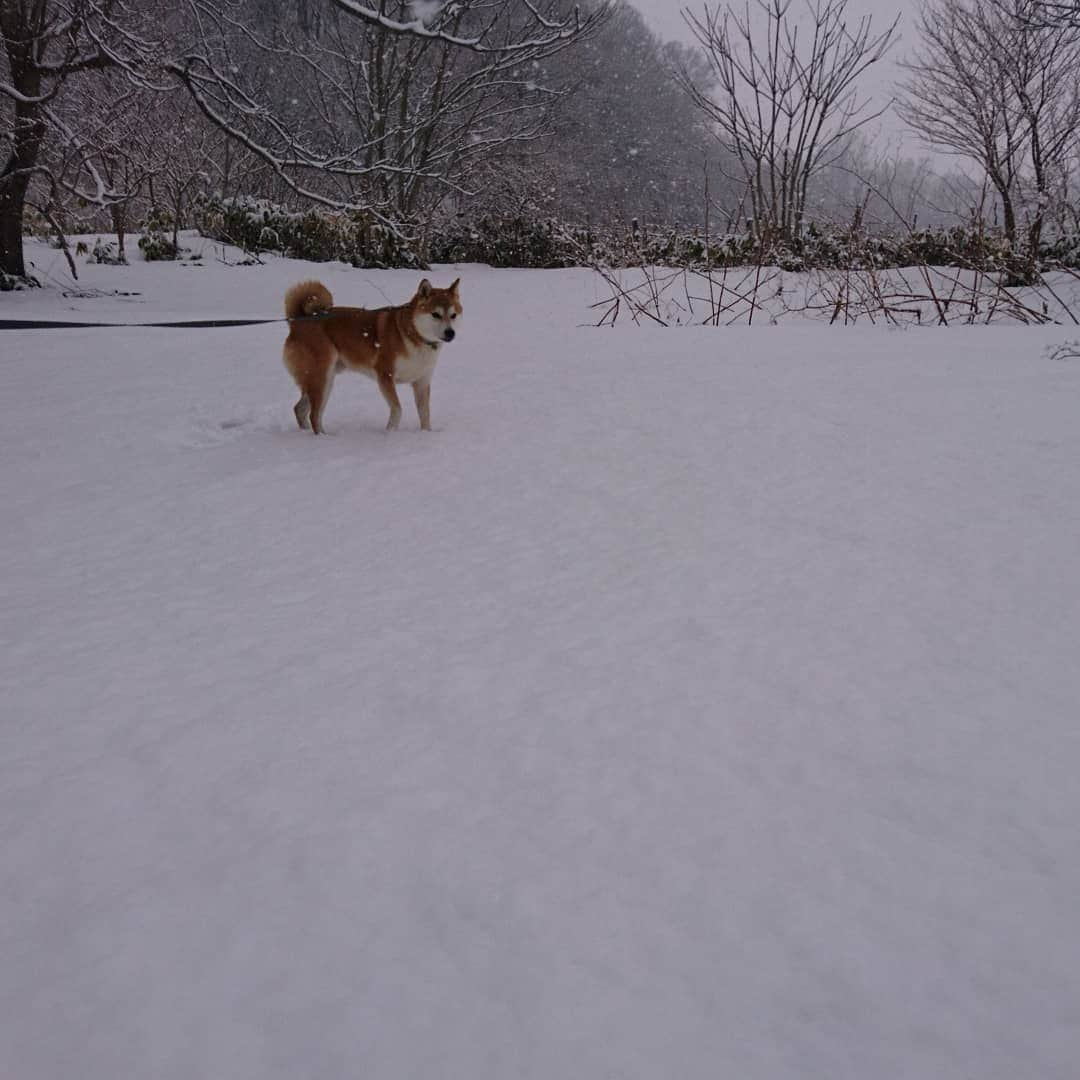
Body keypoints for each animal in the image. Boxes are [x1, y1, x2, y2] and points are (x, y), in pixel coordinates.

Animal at [278, 274, 460, 434]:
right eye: (435, 314)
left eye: (453, 315)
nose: (451, 333)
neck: (414, 335)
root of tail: (298, 321)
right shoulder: (385, 376)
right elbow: (398, 409)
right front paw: (390, 433)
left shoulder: (422, 382)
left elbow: (425, 415)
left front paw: (426, 434)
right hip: (321, 378)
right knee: (314, 415)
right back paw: (324, 438)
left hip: (323, 380)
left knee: (300, 409)